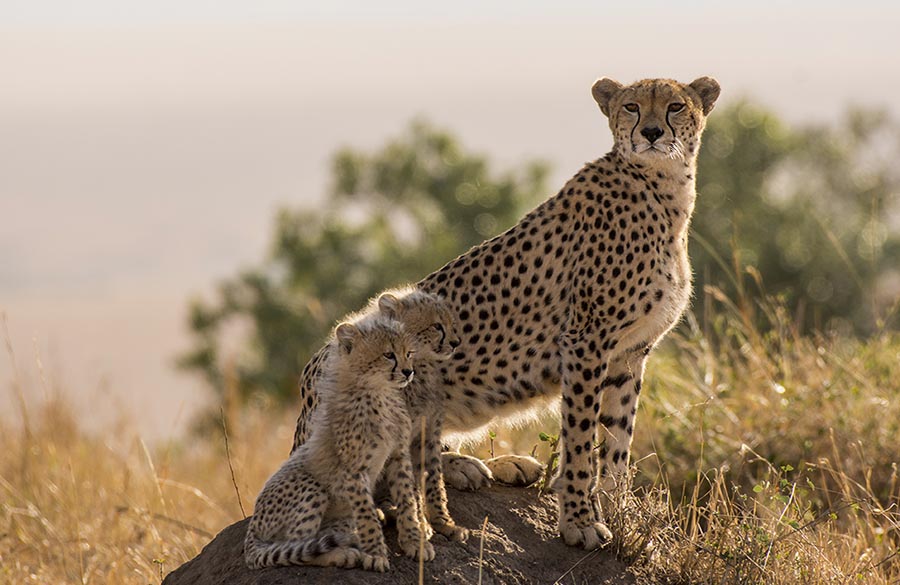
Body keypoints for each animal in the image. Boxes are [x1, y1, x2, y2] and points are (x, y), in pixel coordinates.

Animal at [292, 76, 720, 548]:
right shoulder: (585, 340)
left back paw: (498, 465)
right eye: (631, 106)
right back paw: (458, 471)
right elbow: (580, 438)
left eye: (675, 106)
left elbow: (616, 437)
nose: (651, 132)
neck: (665, 187)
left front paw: (617, 507)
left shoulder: (630, 351)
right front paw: (578, 521)